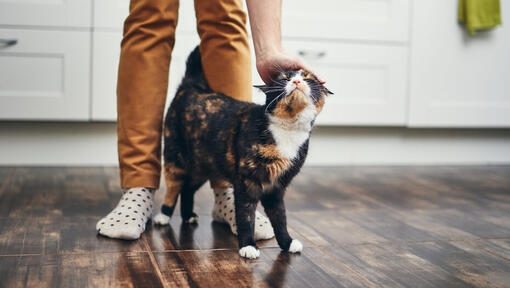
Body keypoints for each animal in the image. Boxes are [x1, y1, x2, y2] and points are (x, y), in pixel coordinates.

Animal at [157, 46, 330, 258]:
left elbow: (280, 218)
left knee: (188, 187)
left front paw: (287, 243)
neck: (288, 130)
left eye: (307, 78)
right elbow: (246, 216)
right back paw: (163, 215)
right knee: (173, 187)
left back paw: (188, 215)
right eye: (284, 78)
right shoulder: (247, 182)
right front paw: (247, 245)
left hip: (204, 165)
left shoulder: (277, 187)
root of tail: (192, 87)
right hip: (175, 158)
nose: (296, 81)